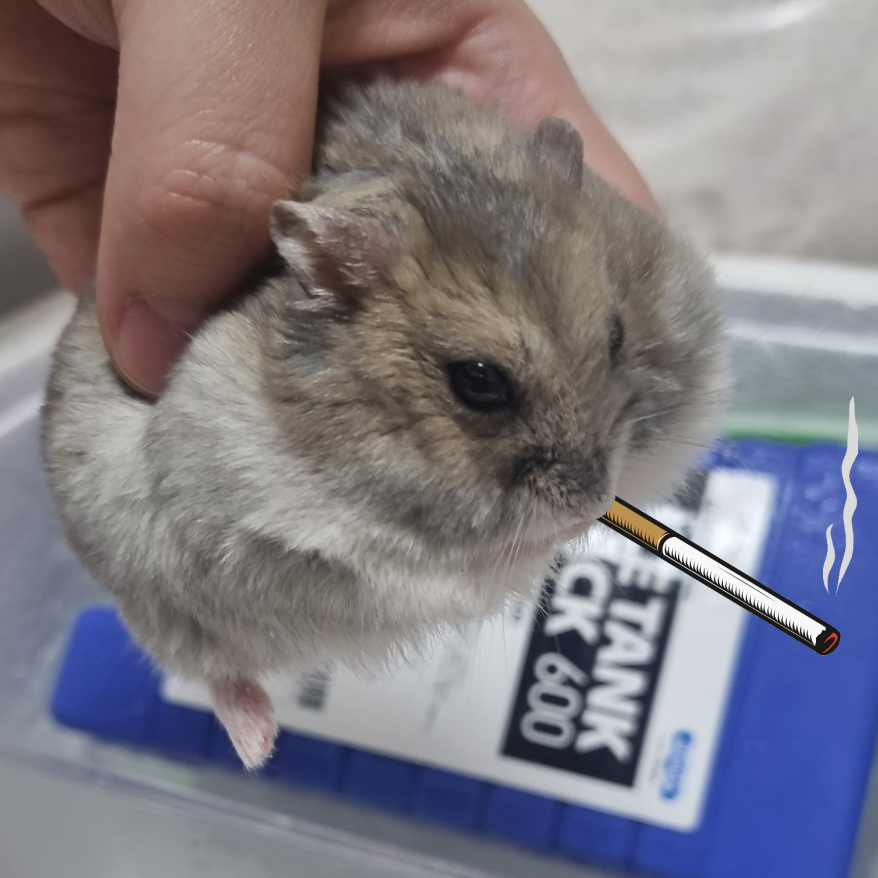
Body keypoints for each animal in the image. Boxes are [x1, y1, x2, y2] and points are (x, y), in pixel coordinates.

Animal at [41, 79, 726, 768]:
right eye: (479, 381)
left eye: (616, 335)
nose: (593, 504)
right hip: (157, 596)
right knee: (217, 671)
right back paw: (259, 748)